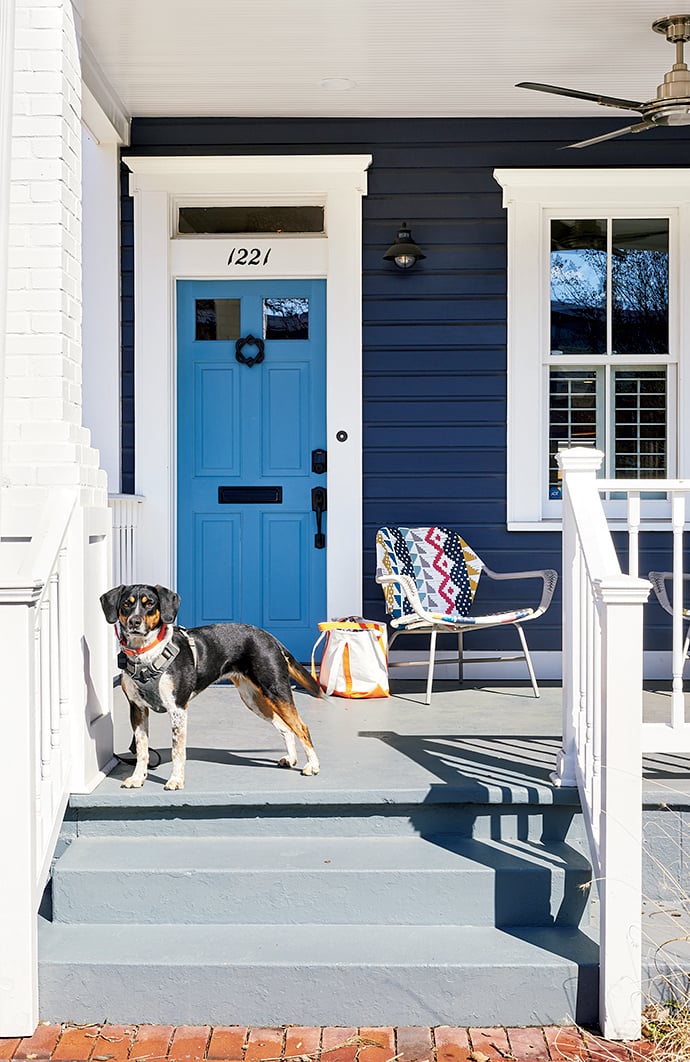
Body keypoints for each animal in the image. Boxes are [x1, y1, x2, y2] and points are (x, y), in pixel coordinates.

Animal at [99, 581, 320, 790]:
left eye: (150, 604)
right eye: (126, 604)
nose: (134, 622)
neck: (145, 654)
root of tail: (270, 637)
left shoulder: (178, 709)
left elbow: (177, 750)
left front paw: (176, 780)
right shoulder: (138, 709)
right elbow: (142, 750)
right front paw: (137, 778)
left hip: (276, 691)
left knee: (302, 727)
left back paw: (313, 766)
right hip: (254, 699)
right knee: (286, 727)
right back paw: (291, 759)